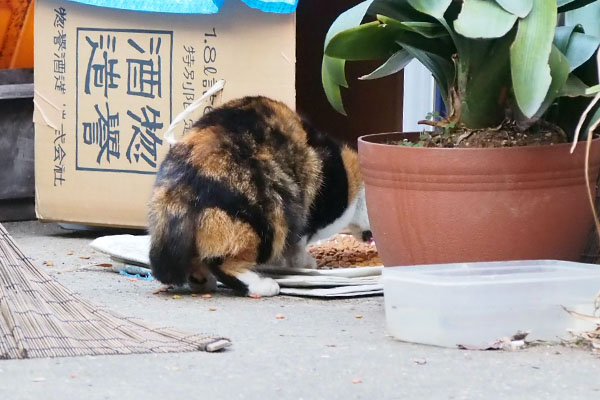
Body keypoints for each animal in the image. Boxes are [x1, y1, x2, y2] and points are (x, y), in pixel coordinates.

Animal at [146, 96, 370, 296]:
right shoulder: (311, 219)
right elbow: (297, 246)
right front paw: (304, 263)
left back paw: (201, 281)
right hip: (269, 220)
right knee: (223, 263)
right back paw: (263, 286)